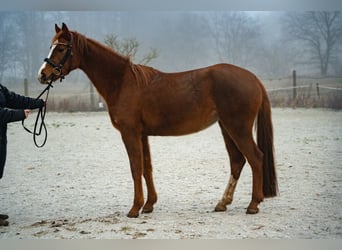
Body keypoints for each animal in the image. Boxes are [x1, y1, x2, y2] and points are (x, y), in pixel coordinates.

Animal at [38, 23, 278, 219]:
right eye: (51, 46)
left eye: (61, 49)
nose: (43, 74)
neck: (123, 82)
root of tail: (253, 78)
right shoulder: (142, 134)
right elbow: (147, 168)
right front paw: (149, 205)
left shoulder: (130, 133)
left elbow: (135, 168)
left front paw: (134, 208)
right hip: (227, 128)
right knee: (237, 161)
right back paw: (222, 203)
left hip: (237, 128)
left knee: (255, 158)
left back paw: (253, 205)